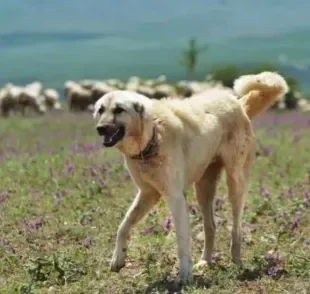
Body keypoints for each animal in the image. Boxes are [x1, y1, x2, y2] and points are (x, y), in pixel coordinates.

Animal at [92, 71, 288, 282]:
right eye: (101, 110)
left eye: (119, 110)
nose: (100, 128)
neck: (153, 137)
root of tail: (237, 103)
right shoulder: (148, 193)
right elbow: (124, 225)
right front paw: (118, 258)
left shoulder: (175, 197)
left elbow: (182, 240)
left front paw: (185, 276)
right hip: (203, 189)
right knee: (211, 226)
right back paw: (205, 262)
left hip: (235, 183)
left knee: (236, 229)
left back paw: (237, 263)